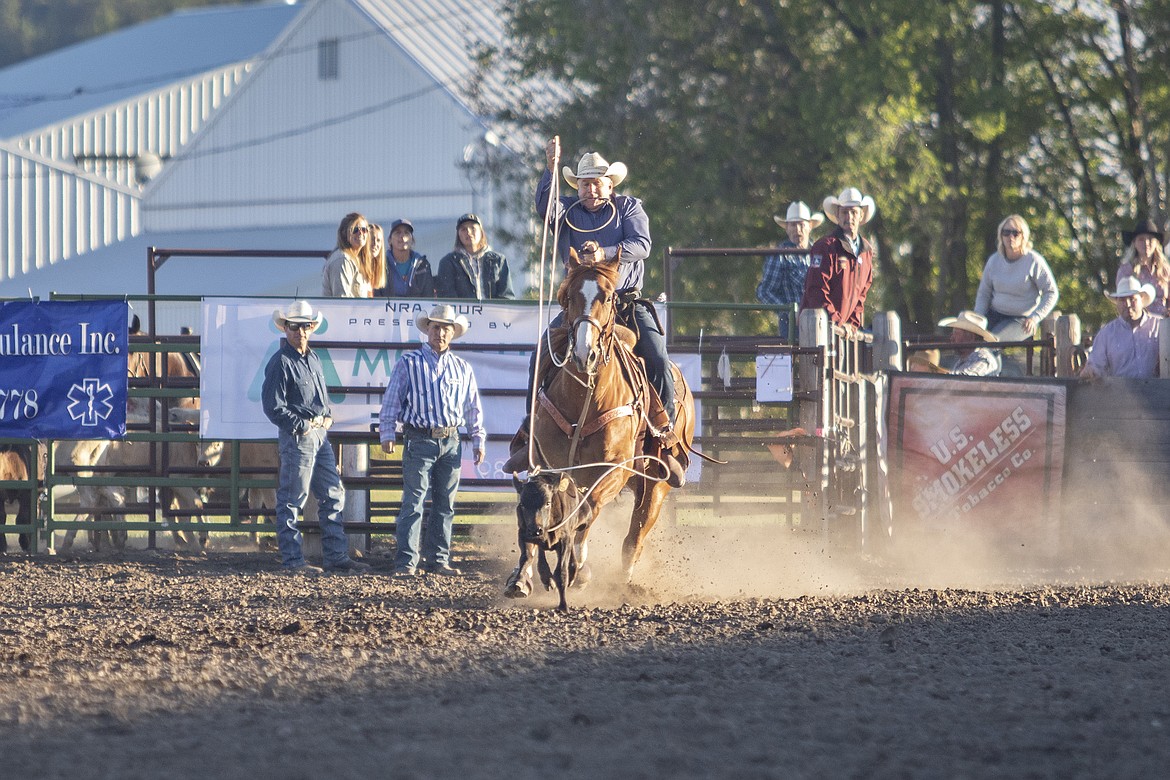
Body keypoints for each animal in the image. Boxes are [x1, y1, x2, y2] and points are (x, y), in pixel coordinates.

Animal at [507, 246, 697, 608]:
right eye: (569, 297)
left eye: (608, 297)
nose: (586, 353)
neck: (584, 399)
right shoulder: (548, 466)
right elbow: (533, 509)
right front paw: (521, 577)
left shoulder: (614, 469)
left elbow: (587, 511)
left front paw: (578, 569)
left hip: (655, 487)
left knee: (633, 539)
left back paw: (621, 584)